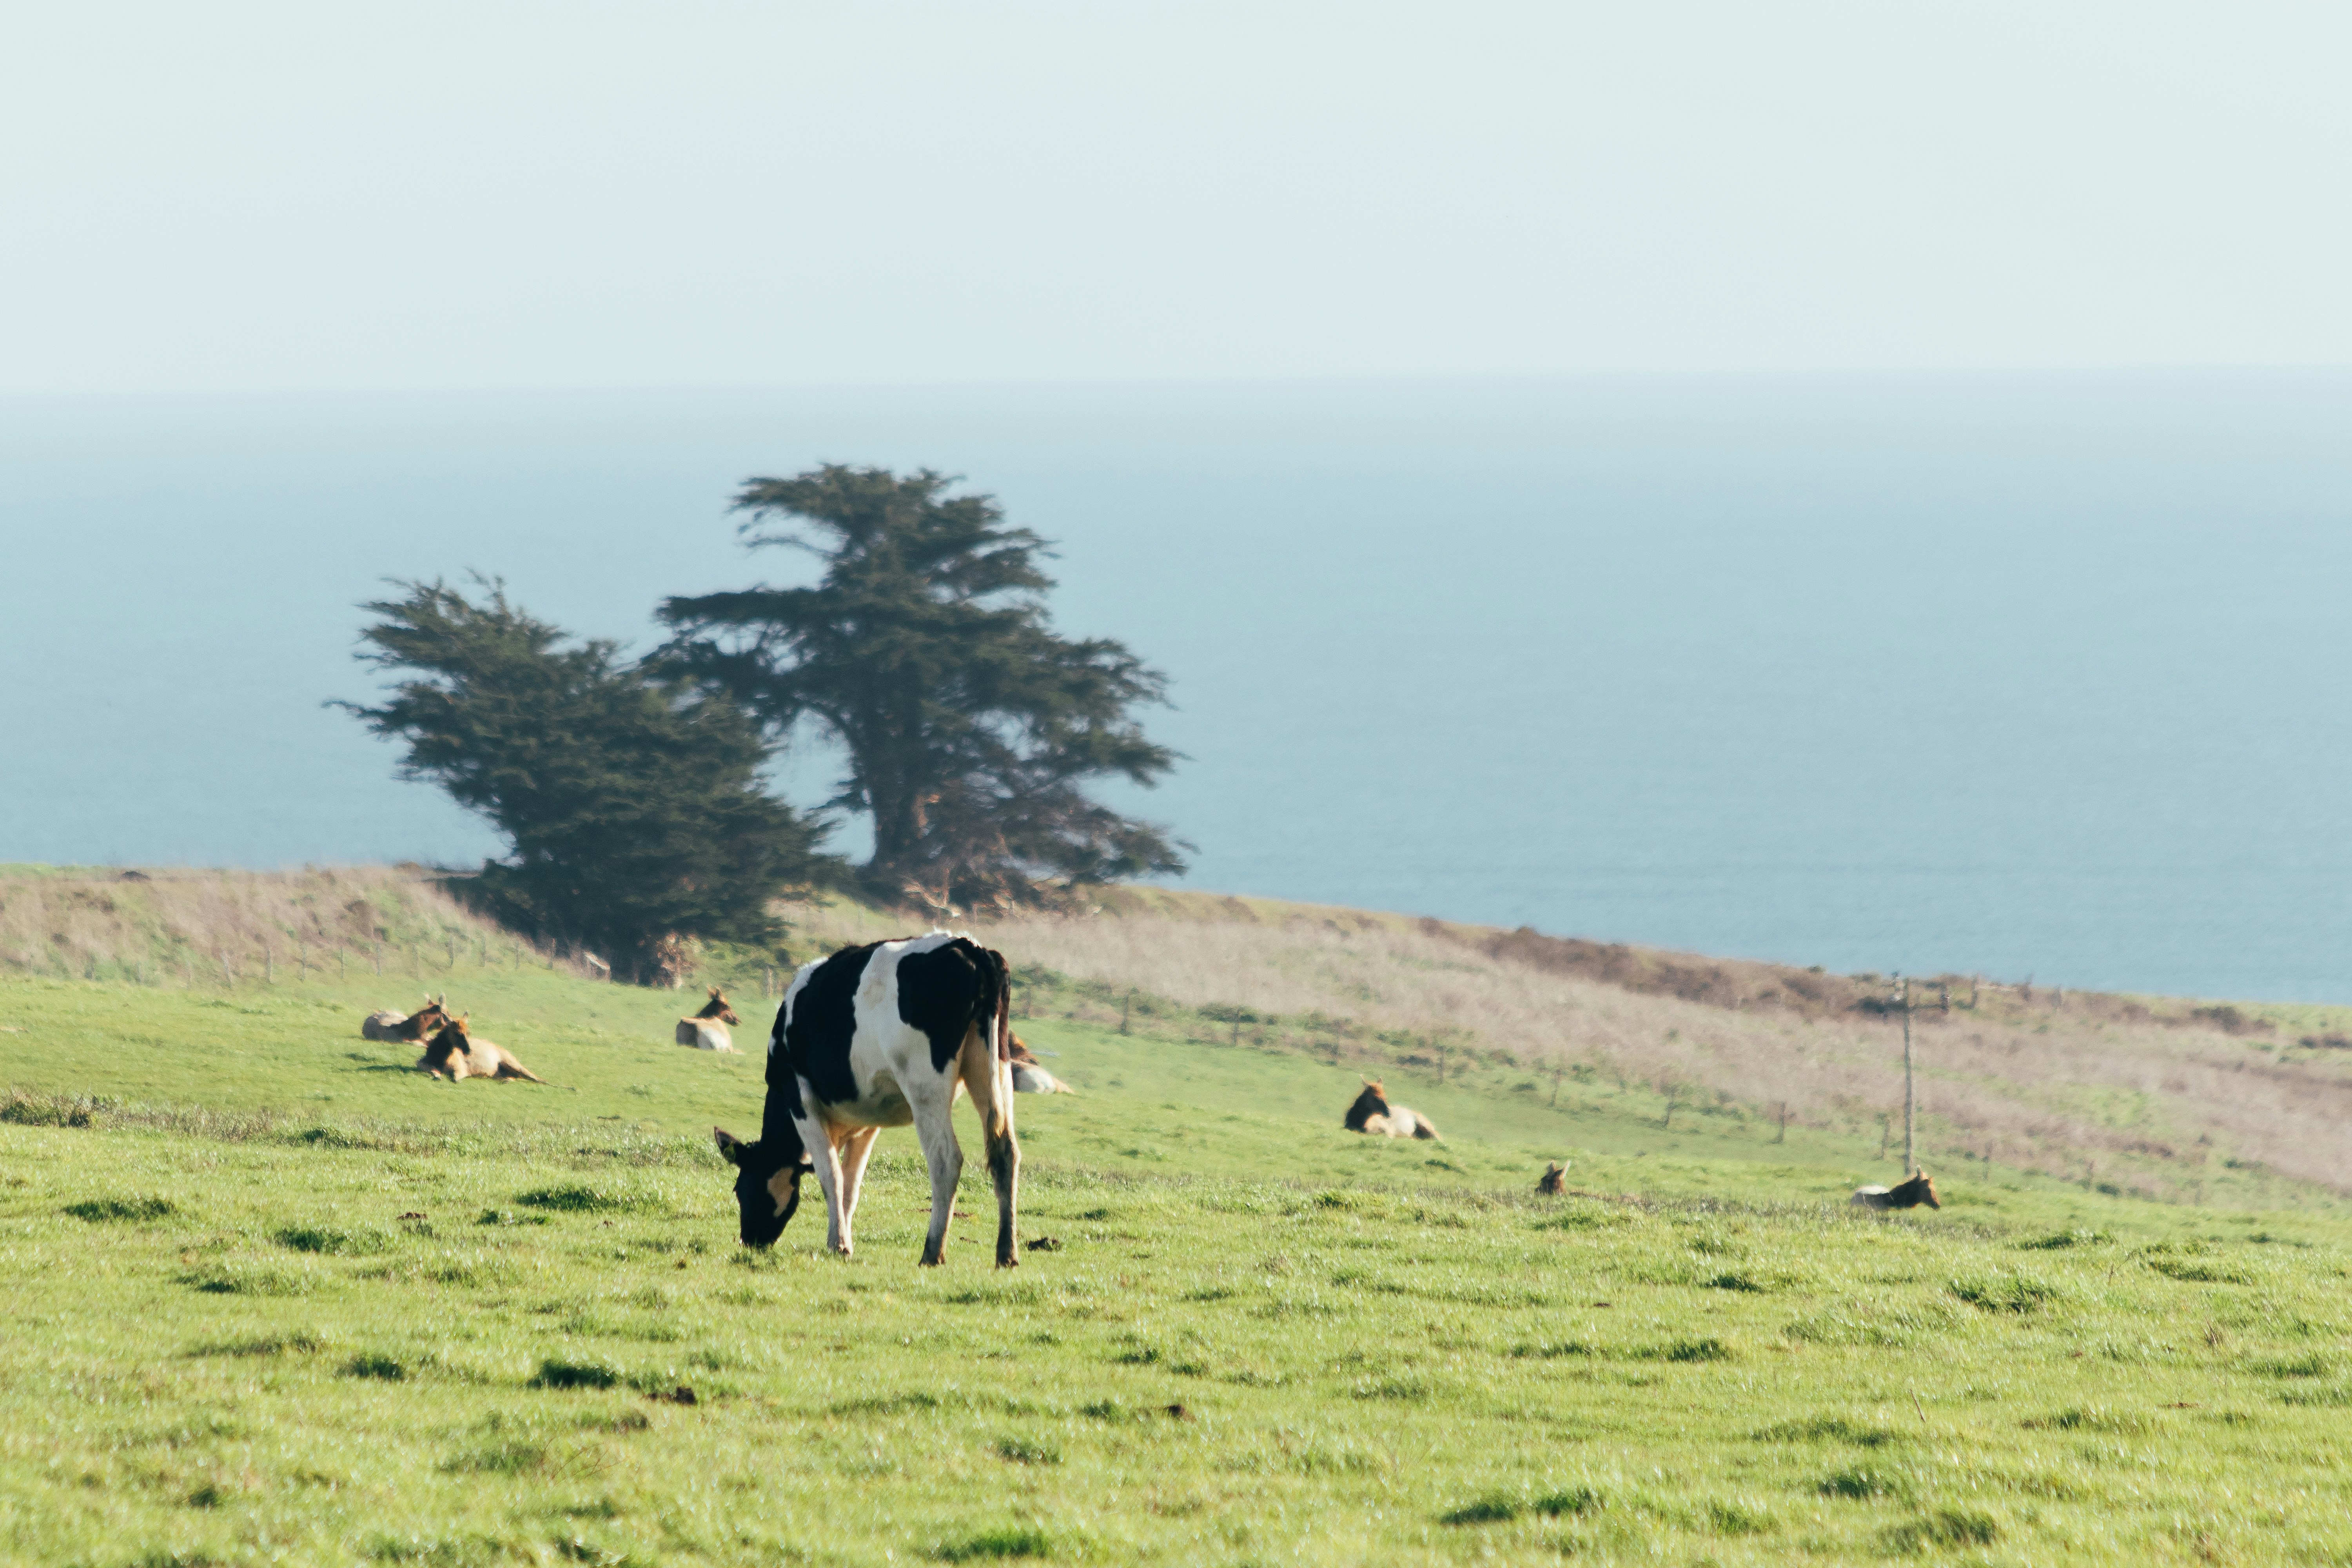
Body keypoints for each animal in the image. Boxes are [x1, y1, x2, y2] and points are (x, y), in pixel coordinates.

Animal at [416, 1014, 546, 1083]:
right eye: (457, 1033)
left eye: (469, 1032)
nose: (468, 1050)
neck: (438, 1058)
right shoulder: (421, 1063)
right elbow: (433, 1071)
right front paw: (437, 1076)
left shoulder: (462, 1068)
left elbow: (456, 1078)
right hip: (499, 1073)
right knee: (513, 1077)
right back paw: (506, 1080)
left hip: (512, 1062)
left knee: (534, 1077)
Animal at [712, 932, 1018, 1268]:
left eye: (740, 1189)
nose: (749, 1241)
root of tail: (970, 947)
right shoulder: (869, 1119)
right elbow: (851, 1183)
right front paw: (843, 1241)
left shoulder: (800, 1100)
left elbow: (831, 1175)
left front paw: (839, 1243)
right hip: (994, 1070)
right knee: (1006, 1152)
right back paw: (1007, 1254)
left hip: (926, 1088)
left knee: (946, 1159)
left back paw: (932, 1252)